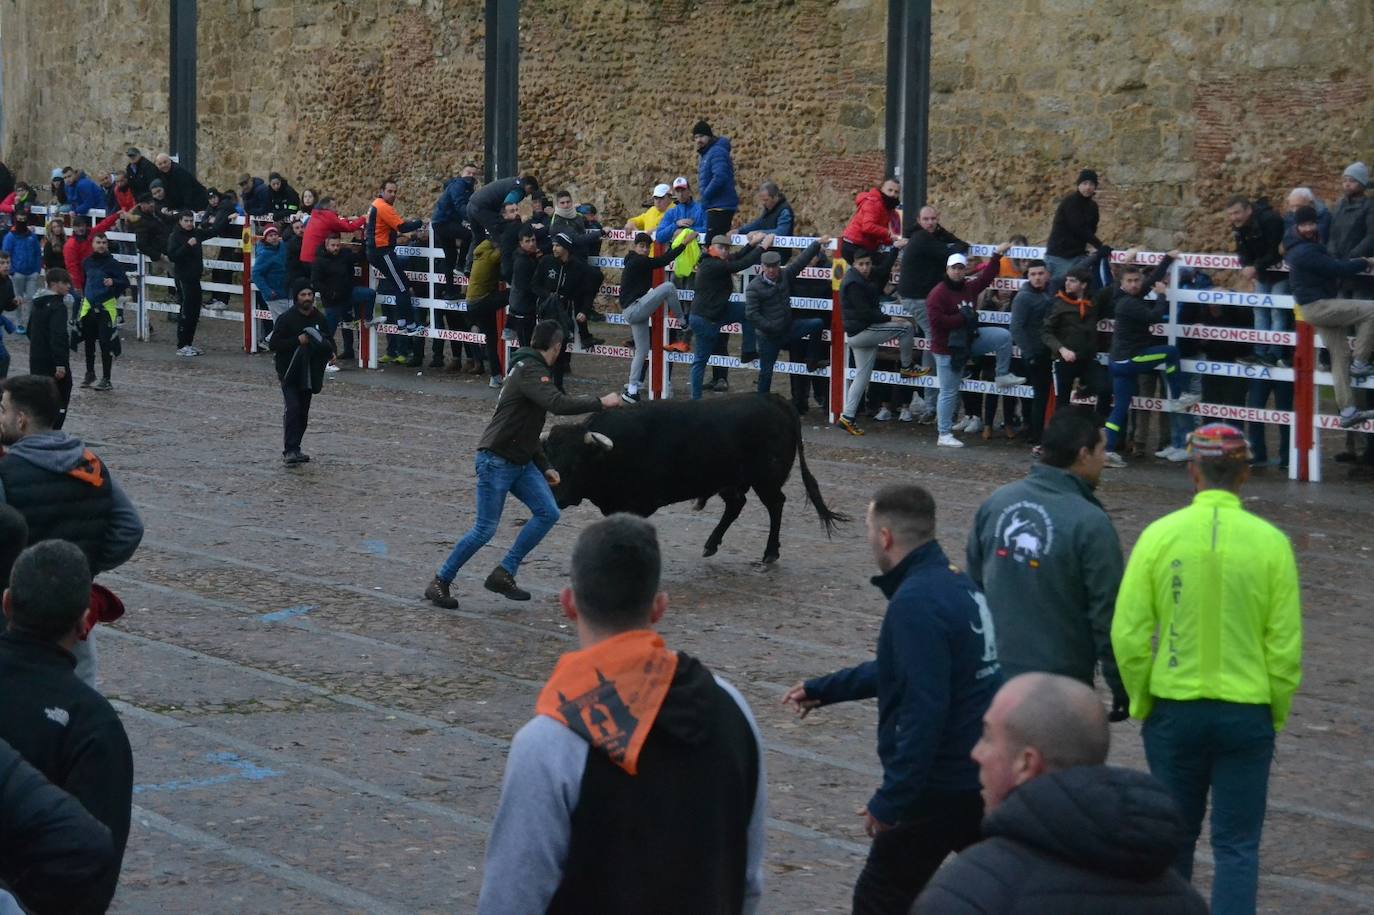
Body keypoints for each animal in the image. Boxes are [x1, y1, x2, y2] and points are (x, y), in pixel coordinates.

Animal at [538, 390, 846, 560]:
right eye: (549, 456)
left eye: (577, 462)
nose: (556, 496)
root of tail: (774, 399)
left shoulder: (636, 505)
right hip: (729, 480)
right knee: (736, 505)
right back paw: (711, 544)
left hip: (766, 479)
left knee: (776, 505)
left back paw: (770, 552)